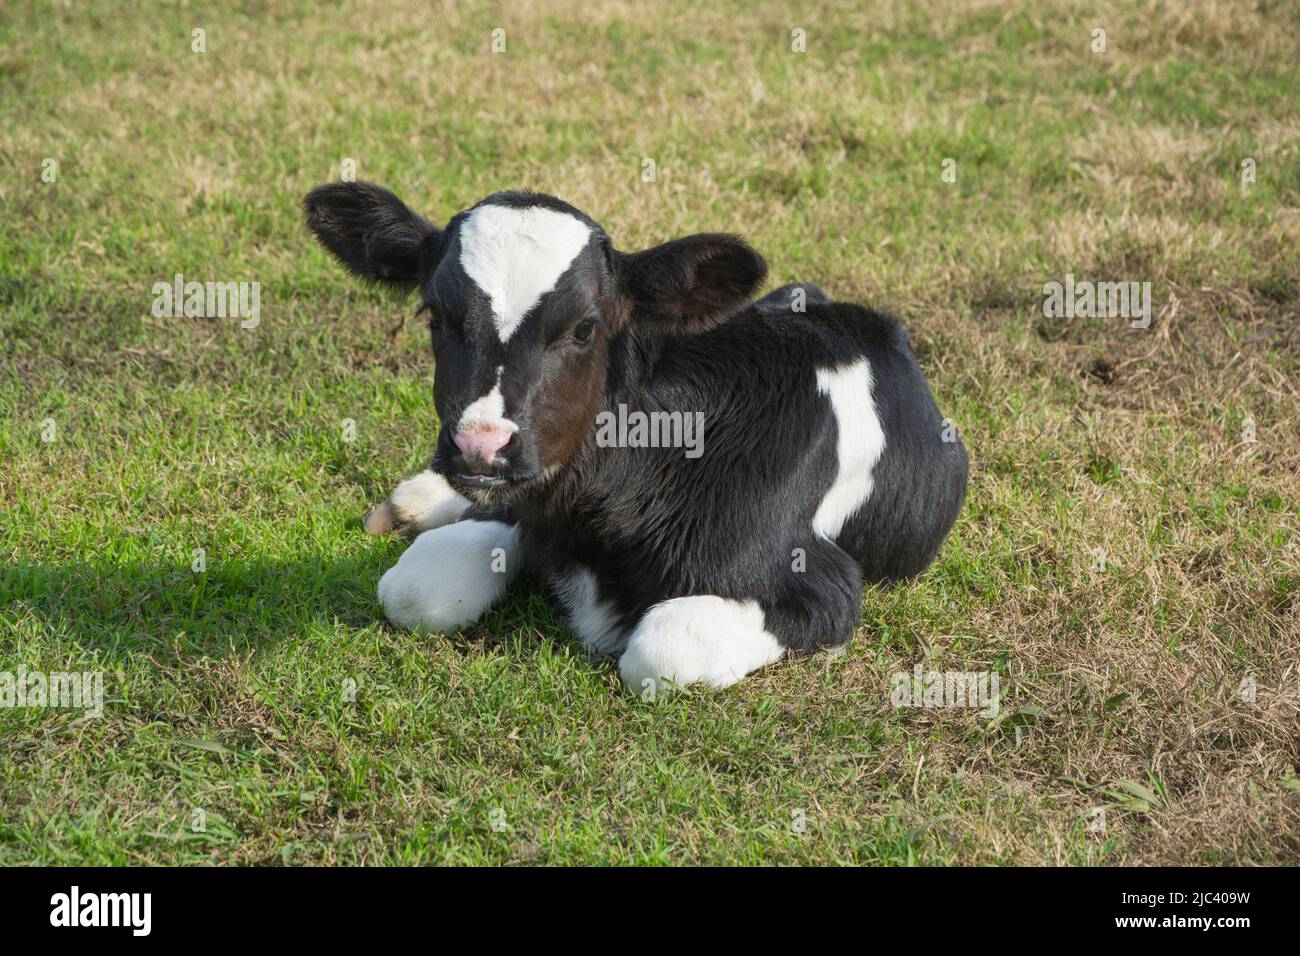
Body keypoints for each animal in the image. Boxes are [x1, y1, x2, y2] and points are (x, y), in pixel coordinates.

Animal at [304, 181, 968, 693]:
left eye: (584, 328)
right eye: (435, 316)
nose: (480, 447)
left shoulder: (823, 583)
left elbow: (659, 648)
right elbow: (415, 589)